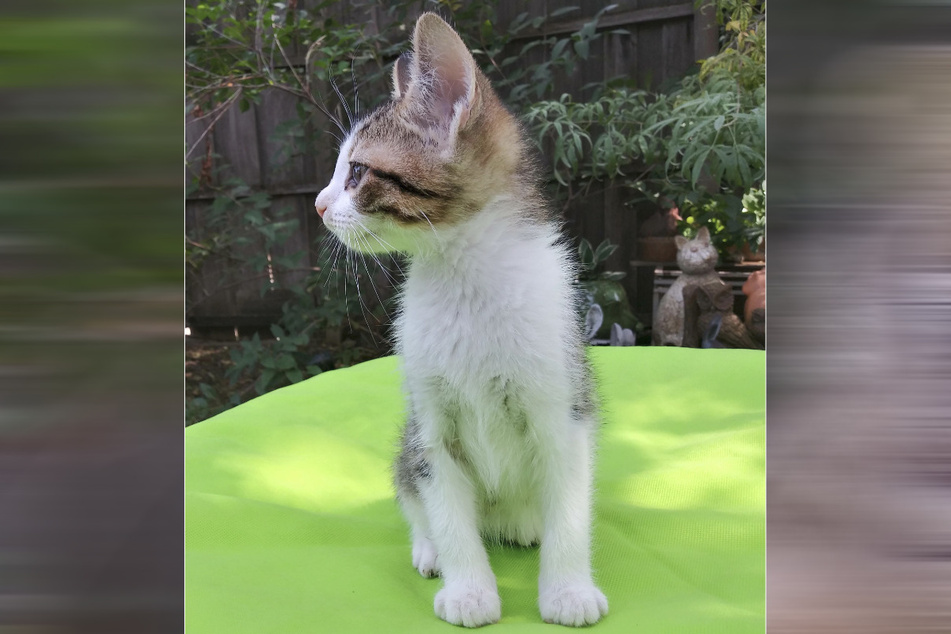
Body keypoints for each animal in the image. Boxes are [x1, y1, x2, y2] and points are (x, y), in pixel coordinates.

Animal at [314, 12, 608, 624]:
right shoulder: (429, 423)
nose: (319, 205)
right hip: (405, 444)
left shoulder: (563, 409)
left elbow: (570, 506)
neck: (463, 280)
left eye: (357, 172)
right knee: (413, 492)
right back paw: (429, 549)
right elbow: (446, 508)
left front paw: (568, 588)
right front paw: (469, 589)